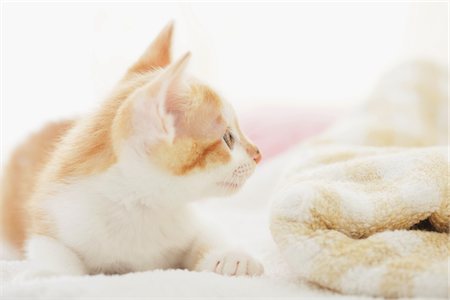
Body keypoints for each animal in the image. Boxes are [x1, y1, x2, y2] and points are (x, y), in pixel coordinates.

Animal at [0, 22, 264, 278]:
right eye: (227, 138)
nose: (258, 153)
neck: (139, 204)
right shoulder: (49, 224)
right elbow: (56, 257)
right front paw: (48, 275)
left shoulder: (191, 222)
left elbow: (208, 235)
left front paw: (232, 257)